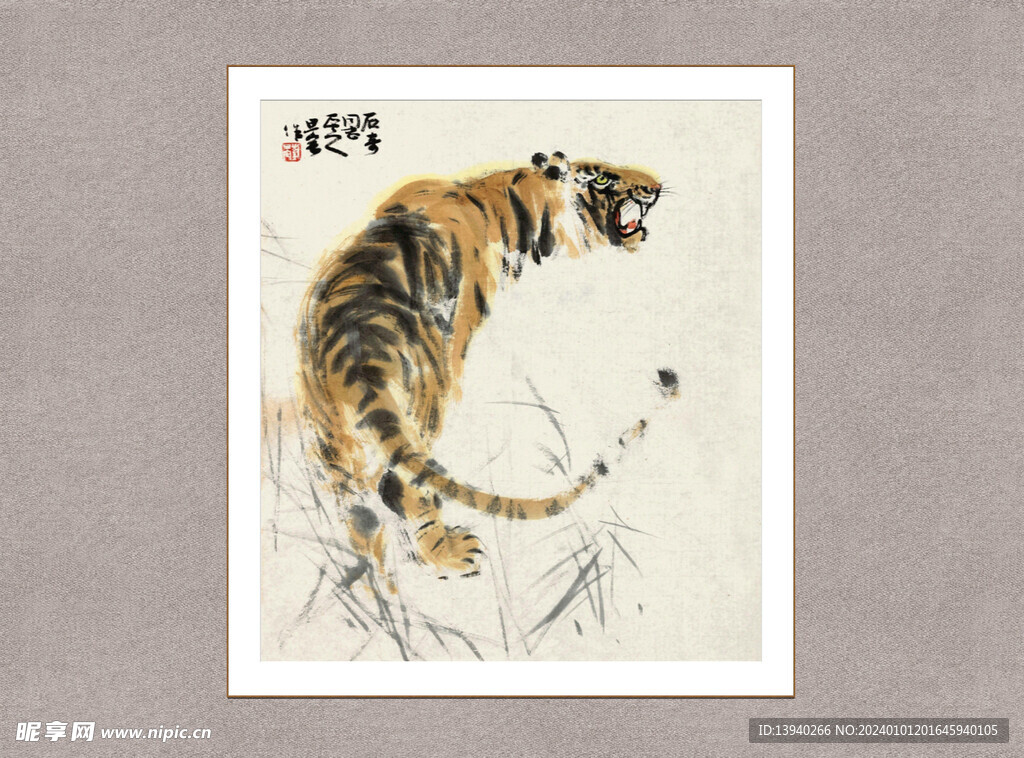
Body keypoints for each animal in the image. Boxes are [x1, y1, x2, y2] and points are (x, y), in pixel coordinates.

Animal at [296, 151, 672, 581]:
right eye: (603, 180)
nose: (656, 186)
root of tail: (353, 347)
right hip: (426, 401)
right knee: (403, 486)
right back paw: (450, 554)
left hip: (332, 435)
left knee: (358, 514)